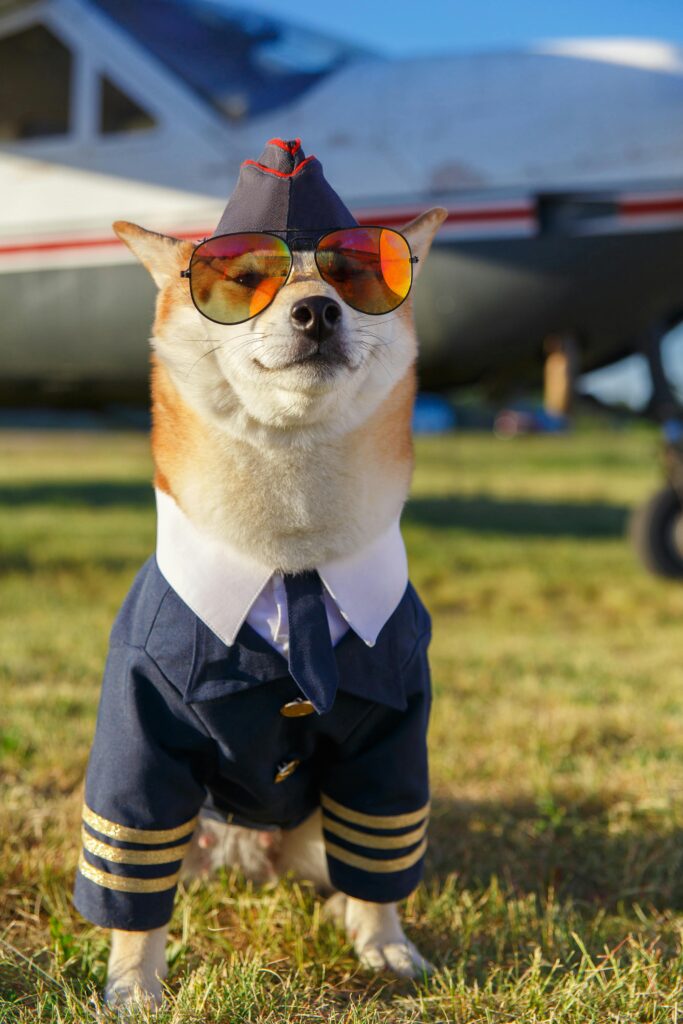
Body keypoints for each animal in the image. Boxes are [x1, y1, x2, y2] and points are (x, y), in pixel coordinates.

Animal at [74, 138, 446, 1007]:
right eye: (245, 278)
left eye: (354, 274)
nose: (317, 311)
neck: (291, 559)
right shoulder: (141, 726)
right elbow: (131, 869)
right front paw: (136, 983)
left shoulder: (392, 731)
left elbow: (381, 853)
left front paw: (385, 944)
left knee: (340, 863)